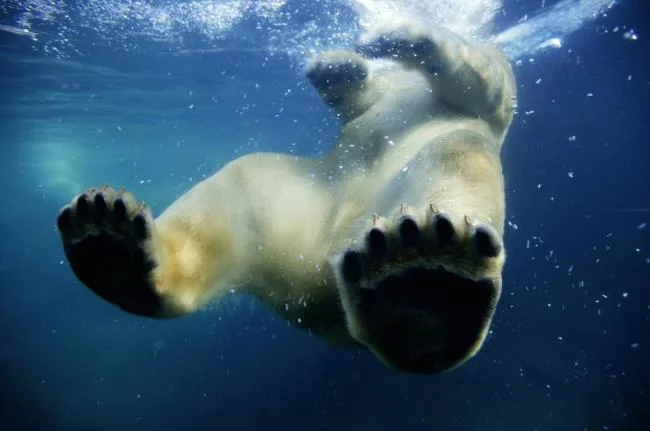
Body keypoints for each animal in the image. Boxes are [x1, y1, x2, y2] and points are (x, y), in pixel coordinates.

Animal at [56, 19, 516, 375]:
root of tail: (316, 271)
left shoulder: (480, 101)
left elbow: (486, 85)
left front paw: (399, 36)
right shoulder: (376, 101)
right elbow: (360, 98)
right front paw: (336, 64)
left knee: (455, 153)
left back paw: (424, 277)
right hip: (283, 201)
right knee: (226, 195)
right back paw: (108, 239)